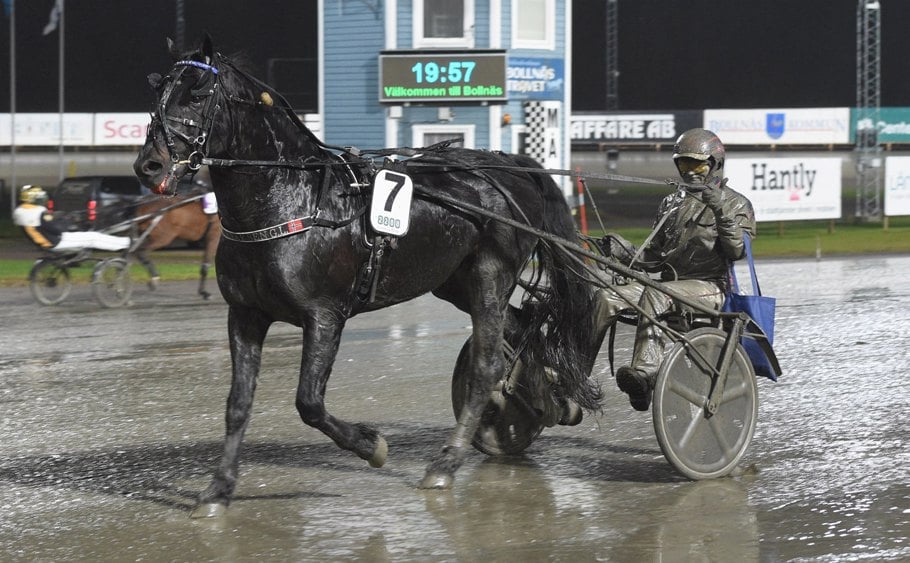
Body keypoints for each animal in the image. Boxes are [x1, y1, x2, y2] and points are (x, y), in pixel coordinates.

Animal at [133, 35, 604, 518]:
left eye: (196, 94)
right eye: (158, 93)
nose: (149, 166)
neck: (291, 201)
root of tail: (512, 165)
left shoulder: (324, 316)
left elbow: (309, 402)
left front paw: (370, 445)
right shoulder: (245, 315)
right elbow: (237, 404)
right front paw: (218, 490)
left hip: (490, 275)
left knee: (487, 366)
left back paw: (446, 462)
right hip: (453, 283)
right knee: (522, 328)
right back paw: (547, 401)